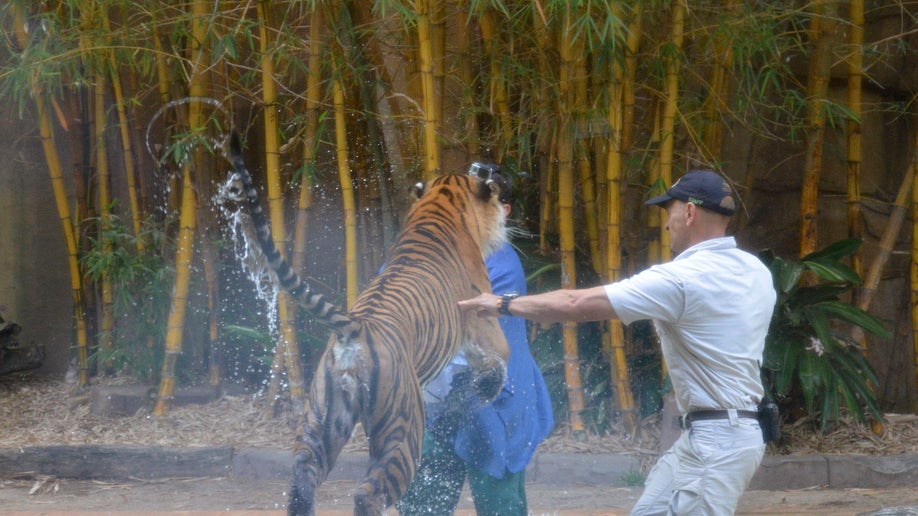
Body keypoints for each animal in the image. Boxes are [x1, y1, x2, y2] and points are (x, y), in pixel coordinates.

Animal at [220, 136, 512, 516]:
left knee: (302, 475)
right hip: (403, 432)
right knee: (368, 492)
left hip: (322, 420)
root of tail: (355, 326)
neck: (441, 202)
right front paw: (482, 390)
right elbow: (496, 362)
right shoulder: (485, 327)